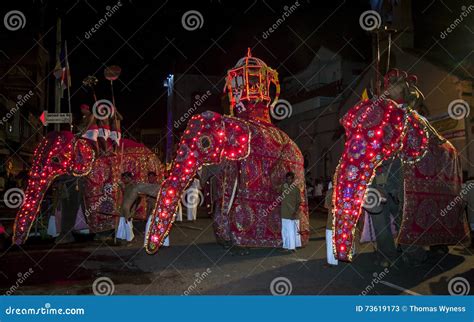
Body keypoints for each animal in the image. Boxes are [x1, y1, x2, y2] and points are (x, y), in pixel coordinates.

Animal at [12, 131, 163, 244]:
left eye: (55, 159)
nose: (17, 243)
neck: (84, 142)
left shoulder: (99, 176)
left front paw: (102, 237)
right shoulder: (75, 179)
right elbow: (69, 203)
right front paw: (62, 240)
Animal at [144, 48, 312, 254]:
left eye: (205, 142)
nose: (151, 249)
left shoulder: (239, 162)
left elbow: (230, 196)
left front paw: (236, 243)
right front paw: (225, 241)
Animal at [332, 69, 468, 260]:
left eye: (386, 134)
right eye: (346, 133)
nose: (348, 257)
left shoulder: (407, 166)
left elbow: (404, 203)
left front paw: (415, 259)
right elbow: (380, 209)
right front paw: (387, 260)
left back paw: (437, 249)